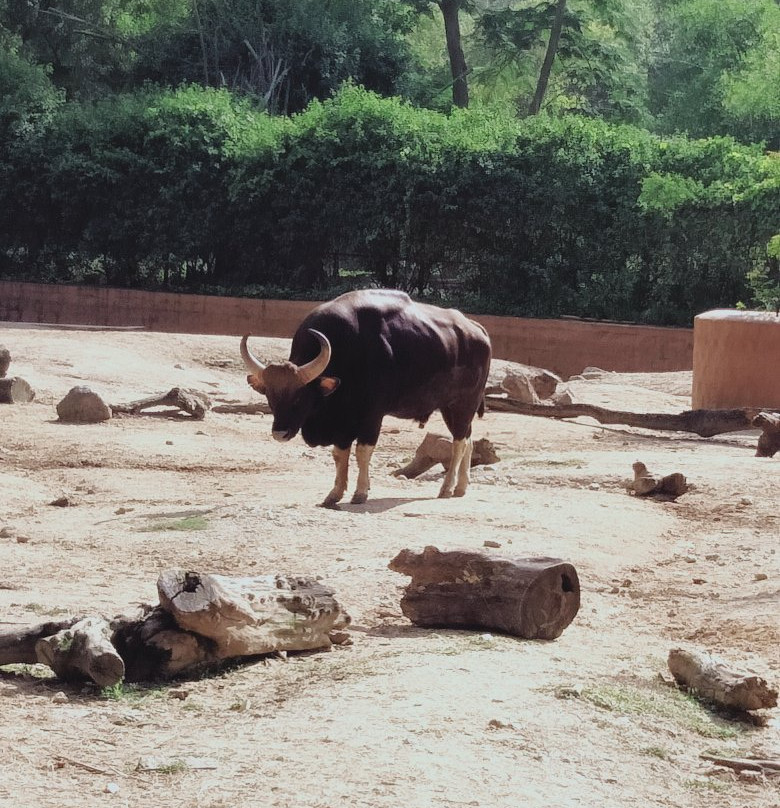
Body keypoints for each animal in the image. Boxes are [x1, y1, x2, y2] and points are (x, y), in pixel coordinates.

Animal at [241, 288, 490, 504]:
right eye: (270, 397)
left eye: (299, 397)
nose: (280, 433)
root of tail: (477, 329)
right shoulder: (341, 422)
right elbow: (339, 455)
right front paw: (335, 493)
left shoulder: (372, 416)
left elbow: (362, 452)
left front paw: (360, 492)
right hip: (450, 408)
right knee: (467, 440)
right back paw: (461, 487)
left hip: (464, 405)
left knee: (458, 443)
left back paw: (447, 487)